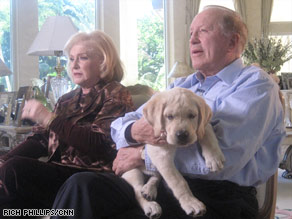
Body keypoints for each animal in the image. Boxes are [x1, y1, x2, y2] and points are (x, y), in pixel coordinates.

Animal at [122, 87, 225, 219]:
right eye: (169, 116)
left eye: (192, 116)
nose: (182, 135)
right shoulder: (161, 154)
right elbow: (178, 182)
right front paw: (190, 202)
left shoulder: (200, 127)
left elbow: (207, 133)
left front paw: (214, 158)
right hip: (131, 171)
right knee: (137, 190)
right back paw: (150, 205)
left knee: (156, 176)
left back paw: (149, 189)